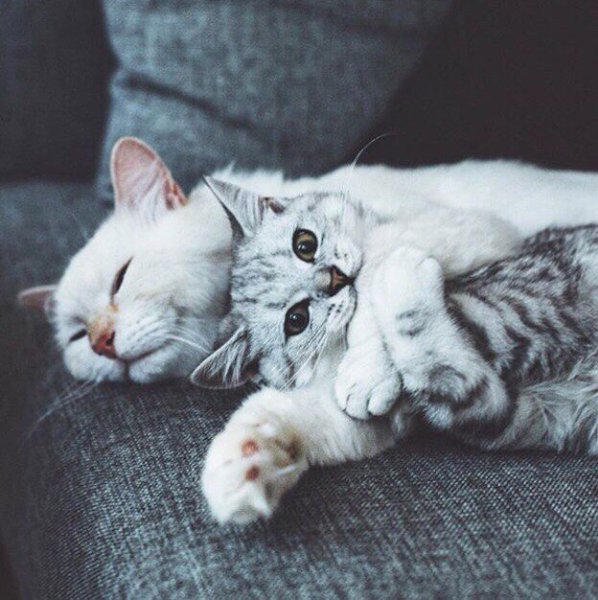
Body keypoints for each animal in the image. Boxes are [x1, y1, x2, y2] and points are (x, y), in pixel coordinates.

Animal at [193, 183, 598, 525]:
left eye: (304, 244)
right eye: (296, 319)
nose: (335, 279)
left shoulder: (476, 227)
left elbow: (377, 256)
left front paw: (364, 371)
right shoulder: (381, 418)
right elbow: (284, 411)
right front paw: (238, 471)